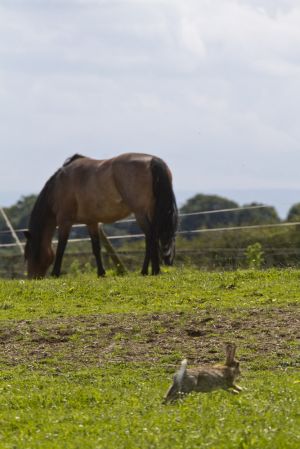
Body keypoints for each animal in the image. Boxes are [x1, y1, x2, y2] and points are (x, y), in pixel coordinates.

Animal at [24, 152, 178, 278]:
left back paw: (151, 270)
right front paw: (101, 273)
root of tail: (153, 160)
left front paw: (55, 273)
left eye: (28, 254)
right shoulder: (92, 222)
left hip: (140, 213)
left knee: (151, 237)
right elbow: (96, 248)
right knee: (151, 238)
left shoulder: (64, 222)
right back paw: (149, 270)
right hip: (151, 212)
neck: (58, 187)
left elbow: (61, 248)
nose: (32, 278)